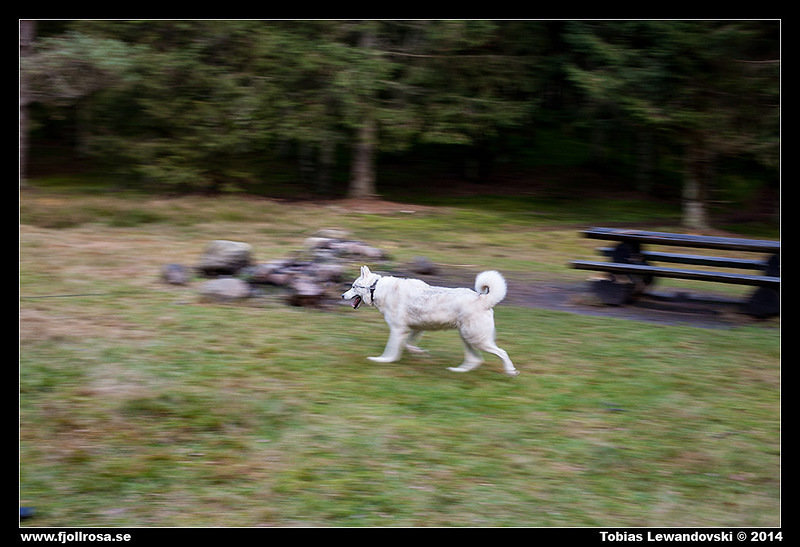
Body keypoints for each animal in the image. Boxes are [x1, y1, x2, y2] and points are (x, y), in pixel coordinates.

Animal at [342, 266, 519, 376]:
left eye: (353, 286)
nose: (342, 296)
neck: (376, 288)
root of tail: (483, 299)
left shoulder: (398, 329)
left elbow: (391, 351)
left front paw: (382, 360)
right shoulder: (415, 328)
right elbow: (408, 344)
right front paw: (420, 352)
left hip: (476, 338)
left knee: (501, 353)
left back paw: (510, 372)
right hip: (467, 337)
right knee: (475, 359)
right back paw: (458, 371)